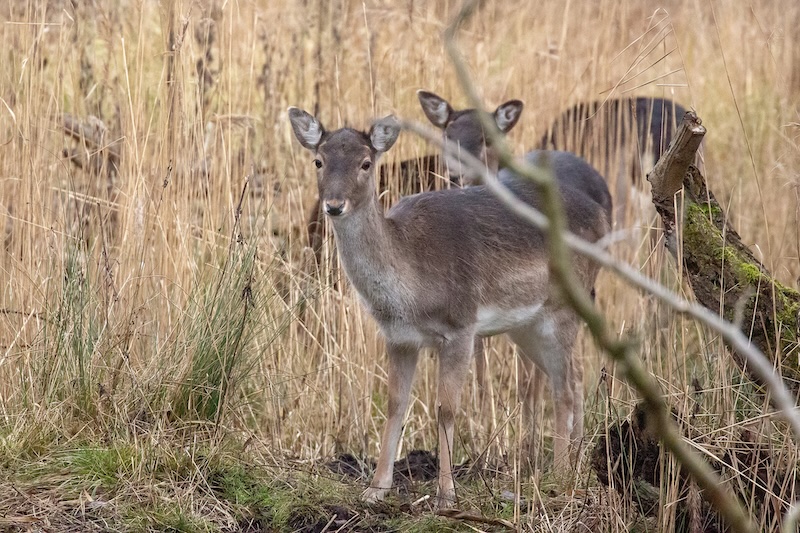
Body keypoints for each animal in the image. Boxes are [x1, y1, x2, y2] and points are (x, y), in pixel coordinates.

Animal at [288, 104, 611, 508]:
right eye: (319, 160)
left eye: (366, 163)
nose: (333, 205)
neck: (410, 288)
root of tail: (602, 217)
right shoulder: (398, 337)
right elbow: (396, 404)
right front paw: (376, 488)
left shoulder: (461, 325)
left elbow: (446, 408)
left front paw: (445, 495)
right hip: (527, 325)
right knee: (574, 375)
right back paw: (572, 464)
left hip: (564, 307)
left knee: (565, 388)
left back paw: (561, 476)